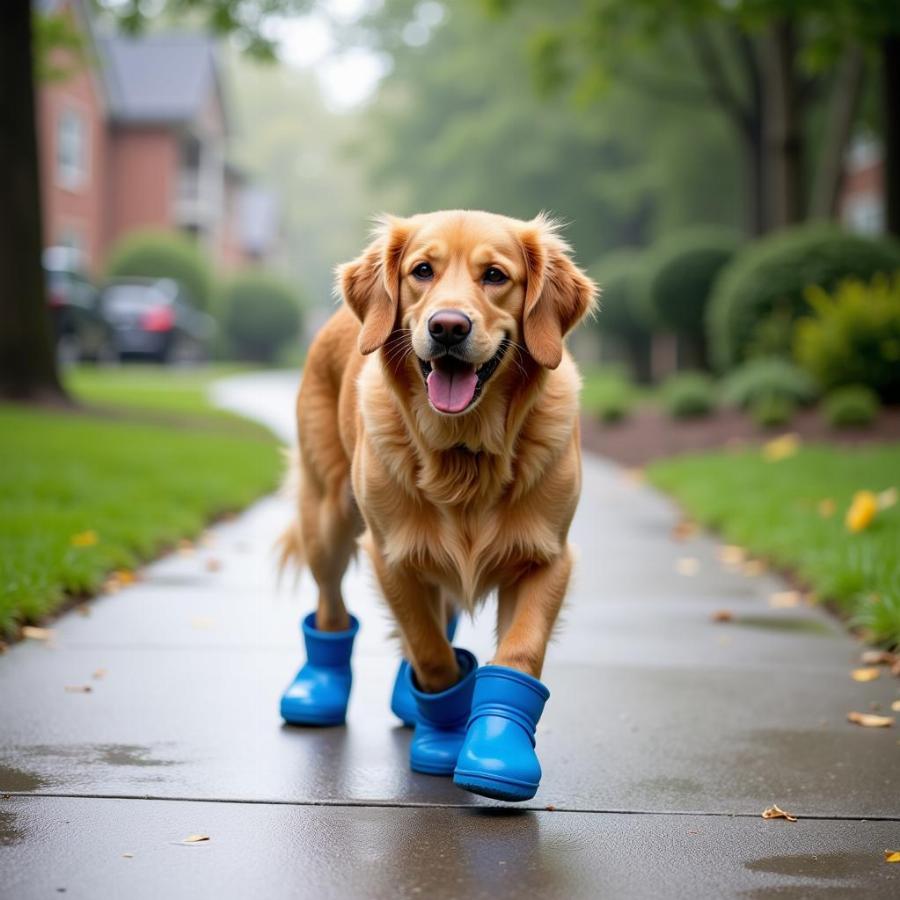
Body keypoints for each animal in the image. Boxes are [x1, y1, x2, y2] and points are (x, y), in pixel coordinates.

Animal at [282, 211, 596, 800]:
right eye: (422, 271)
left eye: (495, 276)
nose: (448, 327)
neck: (464, 454)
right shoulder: (392, 556)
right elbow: (430, 652)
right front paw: (444, 735)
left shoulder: (547, 556)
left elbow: (519, 653)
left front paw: (496, 754)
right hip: (327, 520)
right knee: (332, 606)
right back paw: (318, 692)